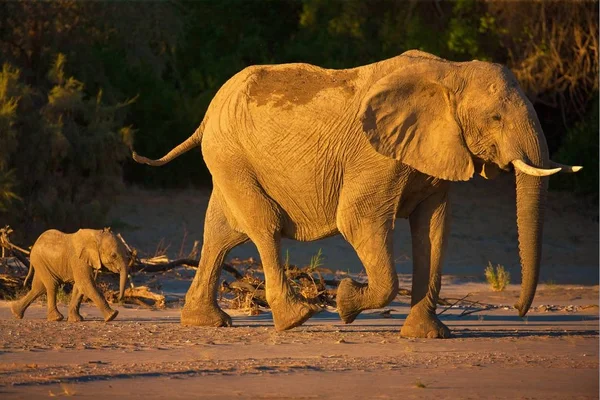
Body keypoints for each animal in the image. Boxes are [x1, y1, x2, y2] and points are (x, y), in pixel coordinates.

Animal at [132, 50, 580, 338]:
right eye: (496, 117)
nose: (520, 312)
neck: (451, 71)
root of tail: (207, 114)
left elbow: (433, 229)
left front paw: (428, 336)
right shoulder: (376, 156)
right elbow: (358, 220)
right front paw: (346, 302)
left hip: (229, 158)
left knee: (222, 233)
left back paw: (206, 322)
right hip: (231, 155)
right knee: (263, 225)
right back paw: (297, 317)